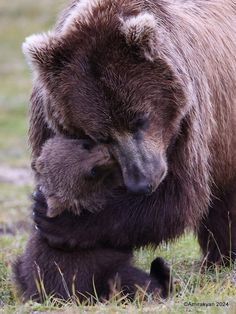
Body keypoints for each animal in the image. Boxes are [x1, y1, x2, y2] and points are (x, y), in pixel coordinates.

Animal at [25, 0, 236, 266]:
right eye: (99, 135)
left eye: (140, 120)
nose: (141, 182)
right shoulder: (50, 122)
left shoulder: (188, 121)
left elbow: (177, 196)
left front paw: (62, 223)